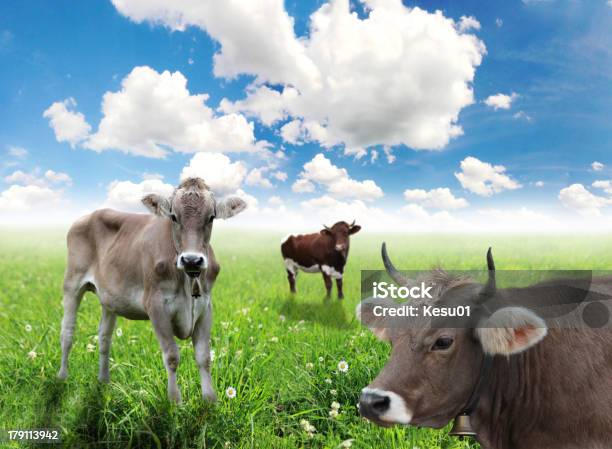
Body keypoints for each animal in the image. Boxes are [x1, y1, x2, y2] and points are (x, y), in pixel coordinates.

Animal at [57, 177, 246, 400]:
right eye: (174, 217)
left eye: (211, 217)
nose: (192, 260)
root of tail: (89, 215)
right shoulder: (156, 305)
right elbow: (172, 356)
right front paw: (174, 400)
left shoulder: (205, 307)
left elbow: (204, 357)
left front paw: (210, 400)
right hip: (72, 282)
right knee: (67, 332)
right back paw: (62, 376)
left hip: (109, 298)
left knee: (104, 337)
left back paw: (104, 381)